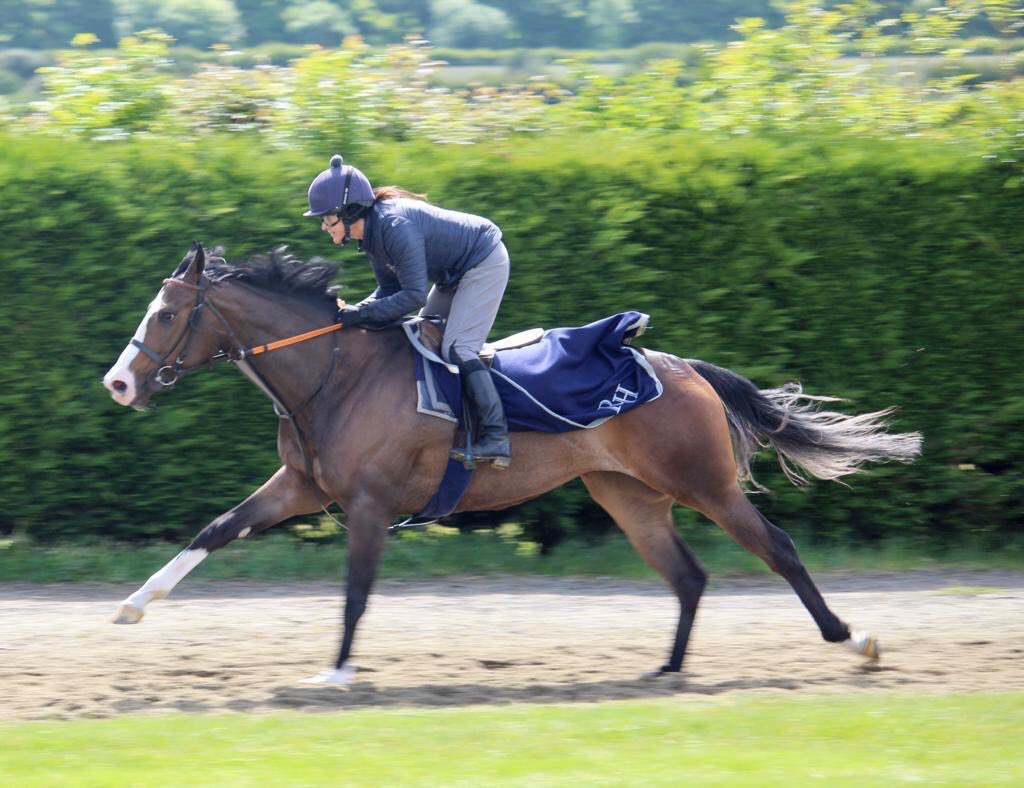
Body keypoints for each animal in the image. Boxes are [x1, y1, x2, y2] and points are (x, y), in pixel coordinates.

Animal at [101, 243, 921, 679]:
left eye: (166, 314)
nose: (119, 383)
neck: (335, 373)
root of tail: (681, 365)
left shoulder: (367, 503)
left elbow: (356, 590)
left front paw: (335, 669)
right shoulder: (301, 486)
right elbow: (215, 529)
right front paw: (133, 605)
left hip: (704, 484)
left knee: (777, 547)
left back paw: (855, 638)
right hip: (627, 495)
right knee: (688, 575)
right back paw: (665, 669)